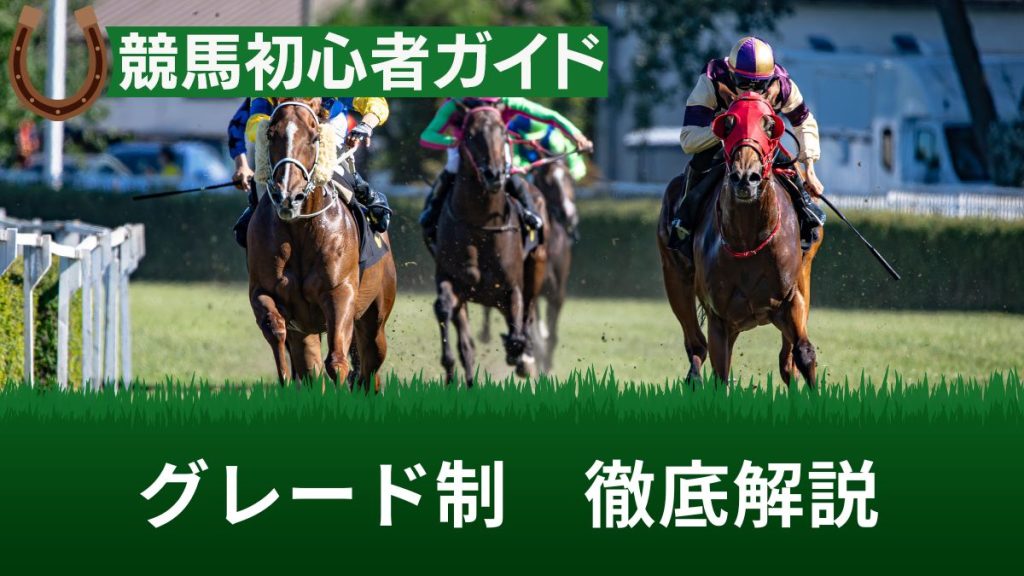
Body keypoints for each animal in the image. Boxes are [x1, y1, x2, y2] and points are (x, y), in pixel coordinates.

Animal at [247, 98, 397, 391]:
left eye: (315, 137)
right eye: (271, 134)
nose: (288, 196)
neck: (299, 230)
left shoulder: (340, 292)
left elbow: (337, 361)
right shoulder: (262, 291)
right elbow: (276, 330)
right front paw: (284, 380)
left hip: (375, 317)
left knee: (370, 370)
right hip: (308, 332)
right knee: (311, 369)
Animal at [433, 104, 547, 386]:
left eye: (503, 133)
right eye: (471, 135)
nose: (494, 174)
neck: (480, 224)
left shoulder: (512, 287)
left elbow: (518, 331)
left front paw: (521, 357)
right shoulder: (449, 279)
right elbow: (444, 309)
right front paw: (450, 368)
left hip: (537, 266)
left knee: (528, 314)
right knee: (466, 341)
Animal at [480, 158, 576, 373]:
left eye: (568, 177)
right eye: (548, 182)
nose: (568, 214)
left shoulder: (557, 293)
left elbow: (552, 337)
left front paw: (547, 367)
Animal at [657, 88, 824, 387]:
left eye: (770, 125)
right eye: (728, 124)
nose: (746, 177)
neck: (748, 240)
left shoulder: (791, 301)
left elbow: (804, 353)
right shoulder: (720, 319)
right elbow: (720, 374)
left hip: (804, 277)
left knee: (787, 362)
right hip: (675, 277)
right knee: (696, 347)